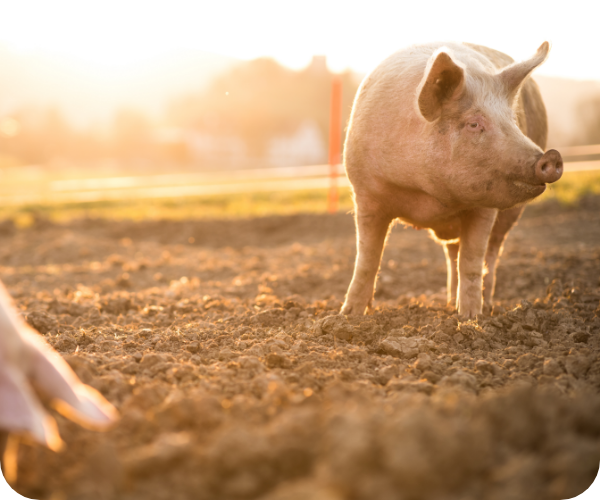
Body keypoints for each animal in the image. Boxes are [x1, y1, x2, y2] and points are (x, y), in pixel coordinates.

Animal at [342, 41, 564, 318]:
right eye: (473, 124)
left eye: (513, 121)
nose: (551, 157)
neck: (427, 193)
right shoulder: (365, 194)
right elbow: (367, 258)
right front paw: (349, 315)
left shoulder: (485, 206)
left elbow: (472, 261)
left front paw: (470, 318)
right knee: (452, 252)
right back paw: (448, 303)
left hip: (510, 216)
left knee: (490, 254)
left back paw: (482, 306)